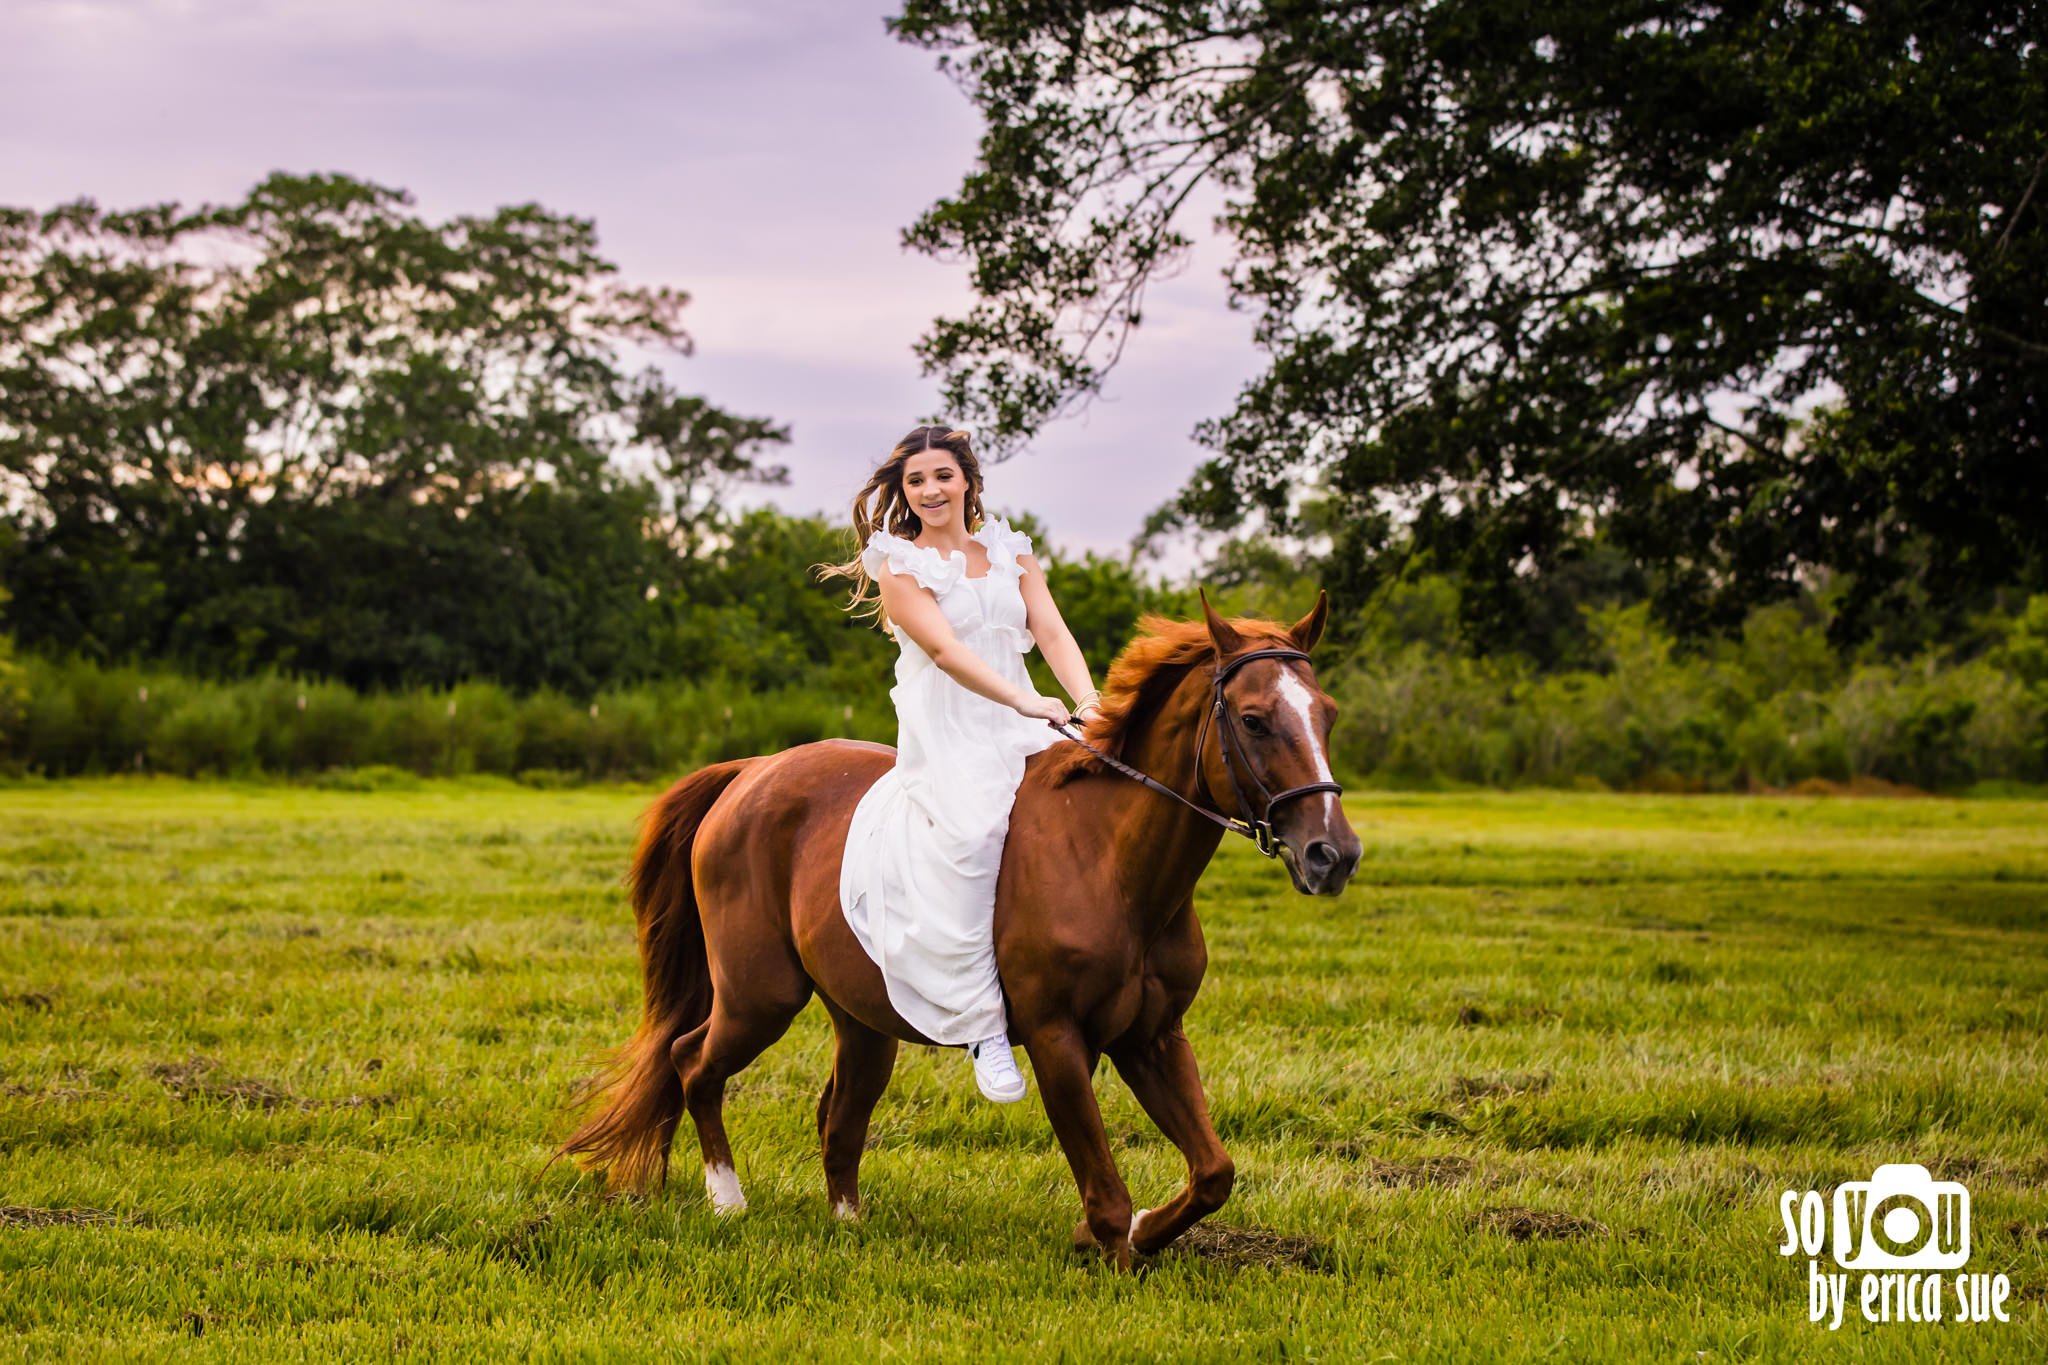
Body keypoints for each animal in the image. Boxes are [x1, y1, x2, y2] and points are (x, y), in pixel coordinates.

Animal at [561, 597, 1359, 1268]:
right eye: (1253, 720)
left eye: (1327, 714)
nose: (1334, 854)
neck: (1110, 861)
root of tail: (751, 772)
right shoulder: (1058, 1039)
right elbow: (1105, 1189)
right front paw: (1110, 1248)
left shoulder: (1152, 1037)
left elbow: (1214, 1172)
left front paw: (1131, 1233)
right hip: (760, 997)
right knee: (692, 1061)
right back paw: (726, 1201)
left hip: (862, 1021)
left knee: (837, 1114)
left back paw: (847, 1222)